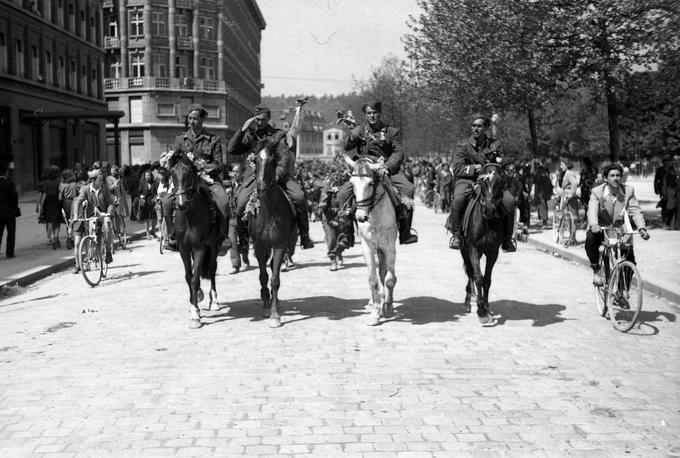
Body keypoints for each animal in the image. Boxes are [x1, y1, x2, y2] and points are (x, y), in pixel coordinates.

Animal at [169, 152, 220, 328]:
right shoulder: (184, 248)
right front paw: (194, 305)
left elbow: (195, 278)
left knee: (212, 268)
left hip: (213, 245)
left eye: (189, 173)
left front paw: (195, 316)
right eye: (172, 173)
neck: (190, 216)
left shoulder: (200, 247)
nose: (181, 204)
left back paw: (214, 301)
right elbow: (188, 276)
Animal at [247, 141, 294, 328]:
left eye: (273, 160)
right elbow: (263, 276)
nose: (260, 186)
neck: (268, 211)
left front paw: (275, 315)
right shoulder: (259, 246)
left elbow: (274, 279)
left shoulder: (280, 245)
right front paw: (267, 306)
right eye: (256, 160)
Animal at [346, 155, 398, 326]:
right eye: (352, 184)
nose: (361, 217)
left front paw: (387, 308)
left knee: (384, 273)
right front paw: (375, 312)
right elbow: (373, 279)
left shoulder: (389, 246)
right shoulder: (367, 246)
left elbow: (389, 279)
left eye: (370, 183)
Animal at [462, 163, 504, 324]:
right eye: (482, 182)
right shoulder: (472, 249)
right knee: (470, 272)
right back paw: (470, 300)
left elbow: (487, 279)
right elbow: (478, 277)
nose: (490, 210)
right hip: (465, 250)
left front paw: (486, 307)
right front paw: (481, 311)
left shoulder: (493, 252)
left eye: (501, 182)